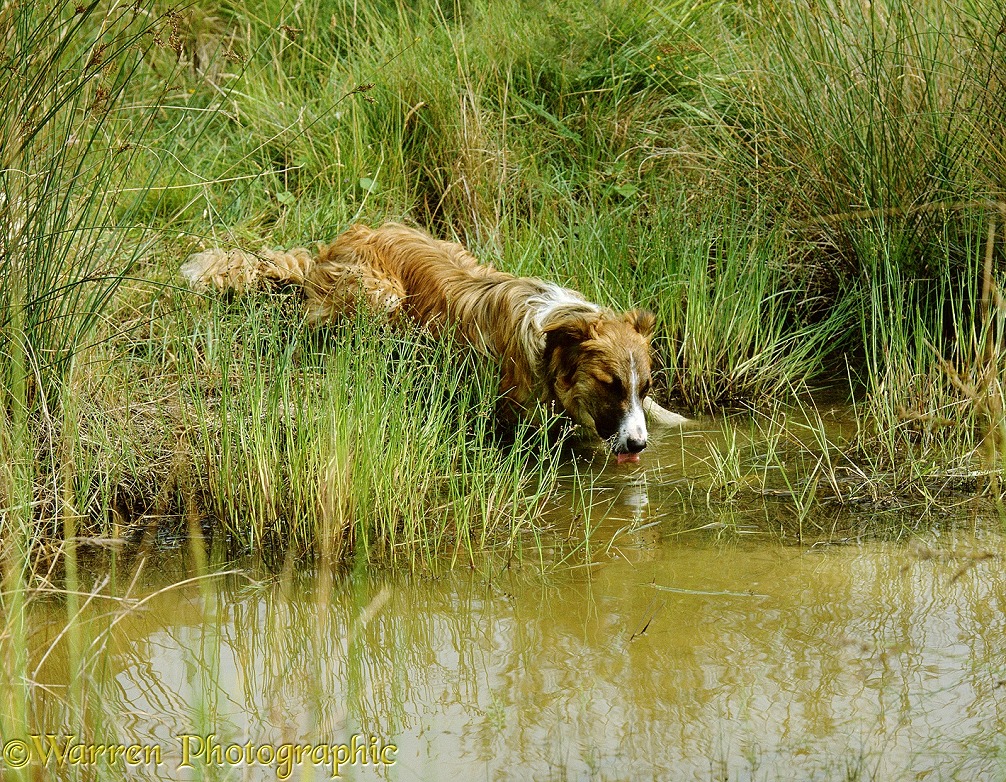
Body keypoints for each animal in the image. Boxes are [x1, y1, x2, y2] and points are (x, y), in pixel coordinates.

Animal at [181, 222, 688, 460]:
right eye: (608, 385)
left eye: (642, 387)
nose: (638, 447)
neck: (552, 336)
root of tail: (332, 248)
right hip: (380, 293)